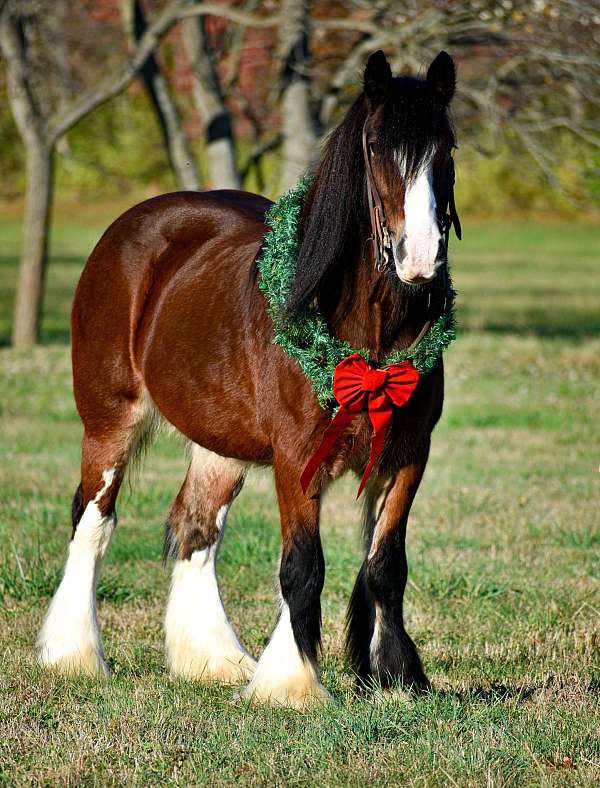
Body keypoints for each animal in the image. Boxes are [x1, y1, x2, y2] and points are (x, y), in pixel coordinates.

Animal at [37, 52, 460, 712]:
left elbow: (385, 565)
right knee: (93, 520)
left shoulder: (409, 454)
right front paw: (293, 683)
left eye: (448, 147)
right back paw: (75, 655)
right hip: (108, 420)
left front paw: (398, 679)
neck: (368, 338)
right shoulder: (296, 456)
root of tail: (137, 224)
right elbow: (303, 568)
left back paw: (213, 658)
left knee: (196, 527)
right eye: (373, 146)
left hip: (219, 444)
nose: (420, 257)